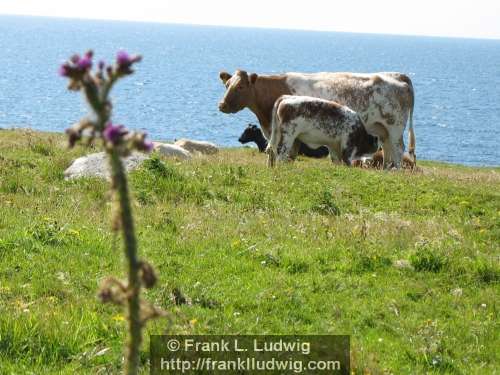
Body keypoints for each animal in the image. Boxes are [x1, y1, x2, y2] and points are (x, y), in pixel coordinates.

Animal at [217, 70, 416, 169]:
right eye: (227, 85)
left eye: (241, 86)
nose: (222, 105)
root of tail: (399, 76)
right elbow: (275, 153)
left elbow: (286, 155)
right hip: (383, 131)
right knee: (388, 151)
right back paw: (387, 171)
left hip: (395, 128)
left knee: (398, 150)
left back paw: (396, 172)